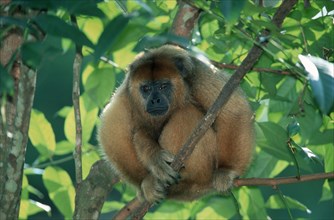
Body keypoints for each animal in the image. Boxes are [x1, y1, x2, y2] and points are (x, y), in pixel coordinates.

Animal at [98, 44, 254, 203]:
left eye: (163, 86)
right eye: (146, 88)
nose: (155, 100)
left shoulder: (199, 74)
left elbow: (234, 111)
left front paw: (226, 170)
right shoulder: (126, 92)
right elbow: (113, 131)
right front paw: (147, 178)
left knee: (186, 113)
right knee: (139, 133)